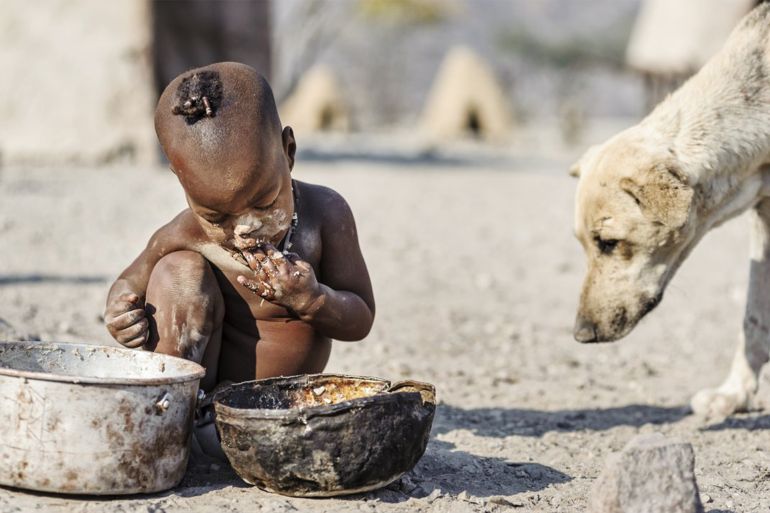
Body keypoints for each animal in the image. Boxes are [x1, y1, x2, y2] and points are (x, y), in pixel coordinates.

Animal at [568, 4, 768, 418]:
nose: (581, 334)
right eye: (582, 244)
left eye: (609, 242)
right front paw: (735, 394)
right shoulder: (763, 213)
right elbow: (754, 315)